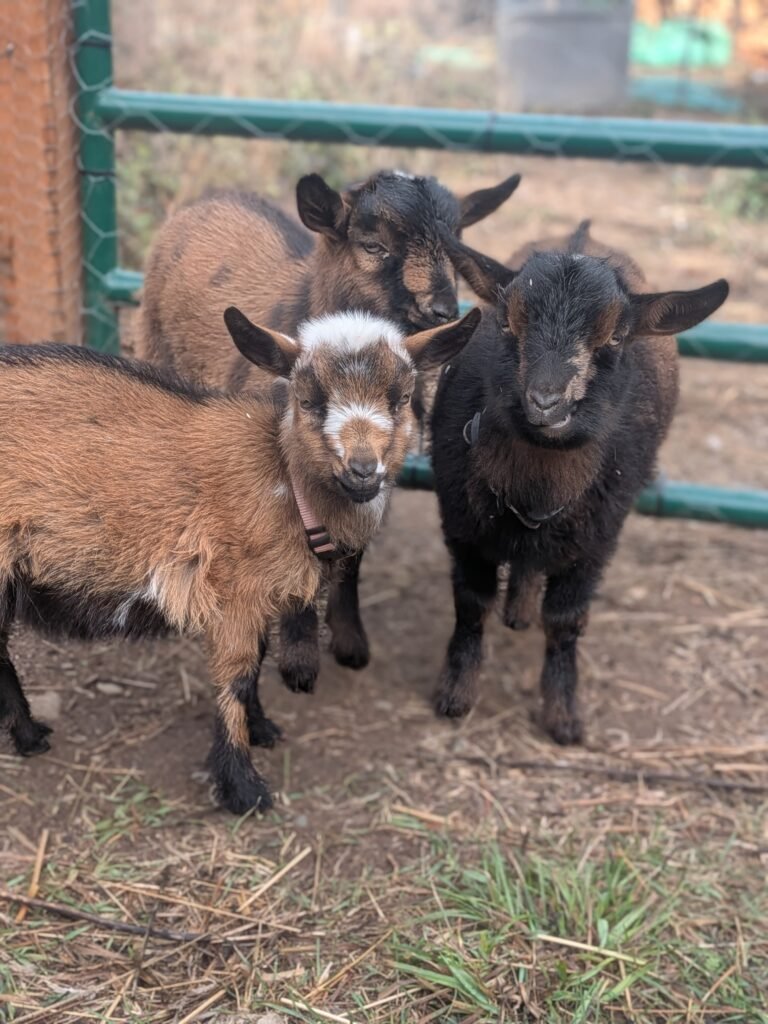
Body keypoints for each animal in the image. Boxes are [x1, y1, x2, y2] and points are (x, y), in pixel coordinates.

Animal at [0, 306, 480, 814]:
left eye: (401, 397)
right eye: (308, 400)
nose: (364, 470)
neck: (286, 483)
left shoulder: (261, 595)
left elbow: (257, 665)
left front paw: (262, 729)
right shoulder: (234, 596)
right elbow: (237, 677)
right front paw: (243, 787)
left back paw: (29, 736)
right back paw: (29, 735)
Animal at [137, 168, 520, 694]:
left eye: (457, 244)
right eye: (372, 245)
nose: (441, 309)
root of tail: (213, 197)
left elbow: (351, 554)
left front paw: (350, 641)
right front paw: (294, 657)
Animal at [430, 222, 728, 743]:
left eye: (617, 336)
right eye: (507, 323)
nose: (545, 401)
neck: (537, 486)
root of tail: (581, 232)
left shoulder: (598, 539)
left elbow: (565, 621)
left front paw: (564, 715)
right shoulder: (462, 526)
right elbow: (471, 602)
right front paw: (456, 693)